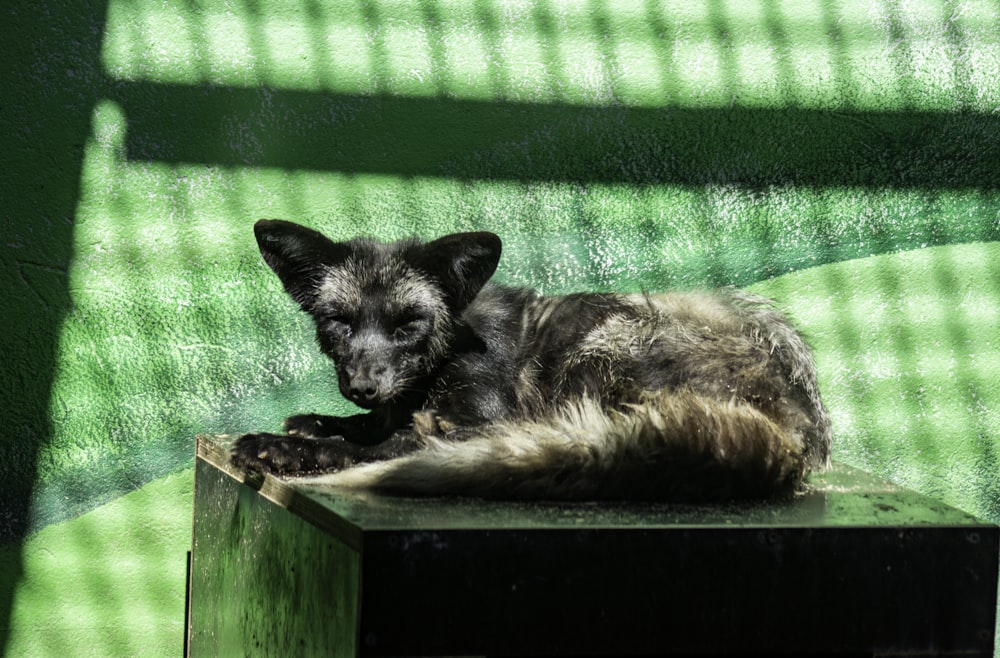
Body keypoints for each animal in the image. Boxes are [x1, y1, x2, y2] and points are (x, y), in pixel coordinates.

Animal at [230, 218, 832, 500]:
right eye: (340, 323)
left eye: (407, 325)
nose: (362, 386)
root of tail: (805, 430)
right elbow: (358, 427)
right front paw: (314, 423)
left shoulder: (476, 418)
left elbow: (366, 445)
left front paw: (281, 447)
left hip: (600, 346)